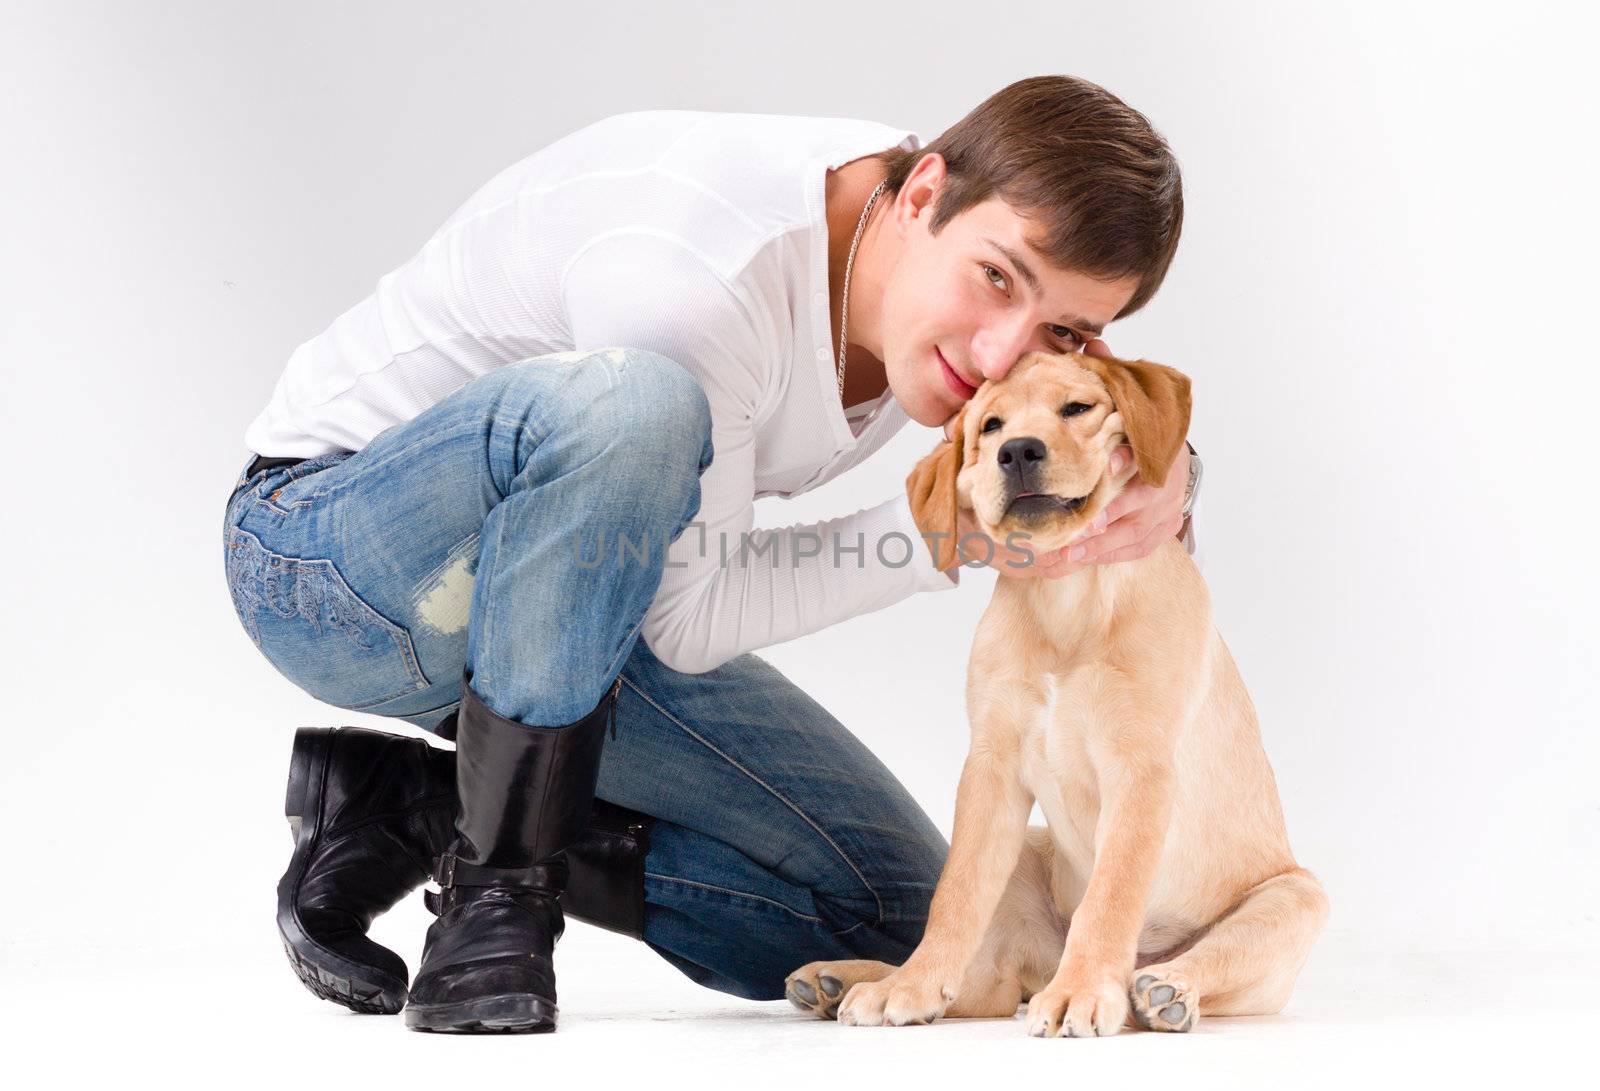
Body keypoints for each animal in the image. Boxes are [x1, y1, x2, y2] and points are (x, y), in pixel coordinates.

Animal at [784, 350, 1324, 1036]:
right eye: (989, 426)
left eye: (1077, 408)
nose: (1017, 451)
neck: (1066, 595)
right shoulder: (990, 767)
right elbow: (955, 896)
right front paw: (910, 984)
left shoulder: (1142, 770)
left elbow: (1111, 895)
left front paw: (1083, 989)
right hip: (1021, 853)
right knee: (984, 987)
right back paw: (851, 980)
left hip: (1296, 897)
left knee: (1201, 959)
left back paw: (1163, 991)